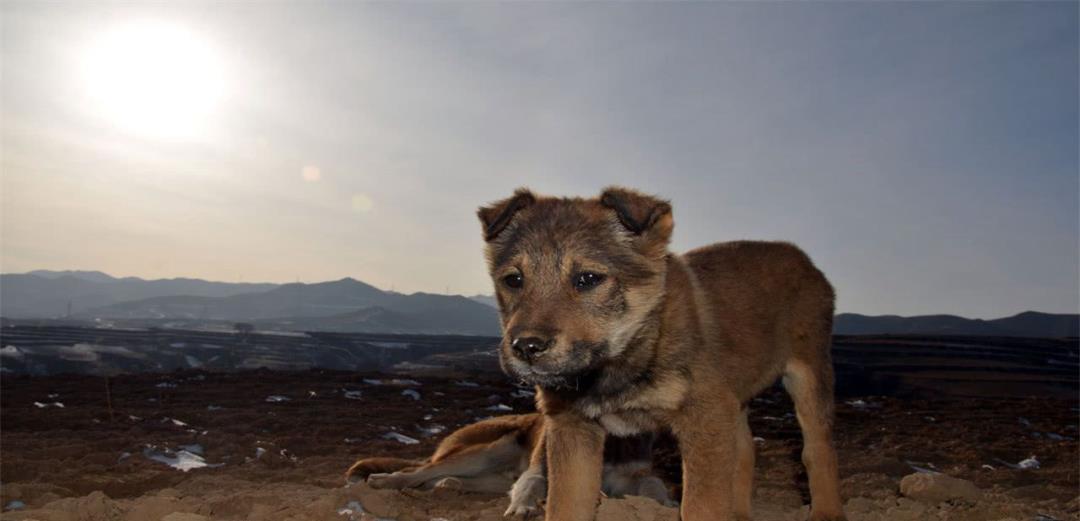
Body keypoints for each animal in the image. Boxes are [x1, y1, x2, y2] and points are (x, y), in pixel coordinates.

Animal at [345, 412, 669, 514]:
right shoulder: (542, 470)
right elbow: (531, 486)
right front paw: (523, 508)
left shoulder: (634, 475)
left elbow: (654, 485)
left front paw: (666, 505)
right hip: (487, 451)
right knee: (417, 470)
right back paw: (385, 481)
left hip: (495, 475)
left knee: (439, 479)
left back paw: (446, 486)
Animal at [479, 188, 842, 521]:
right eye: (513, 280)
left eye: (588, 278)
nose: (526, 347)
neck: (621, 360)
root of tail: (804, 259)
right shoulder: (573, 429)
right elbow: (565, 506)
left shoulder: (705, 418)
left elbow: (702, 507)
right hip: (733, 399)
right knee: (745, 452)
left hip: (808, 375)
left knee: (817, 451)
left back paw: (827, 512)